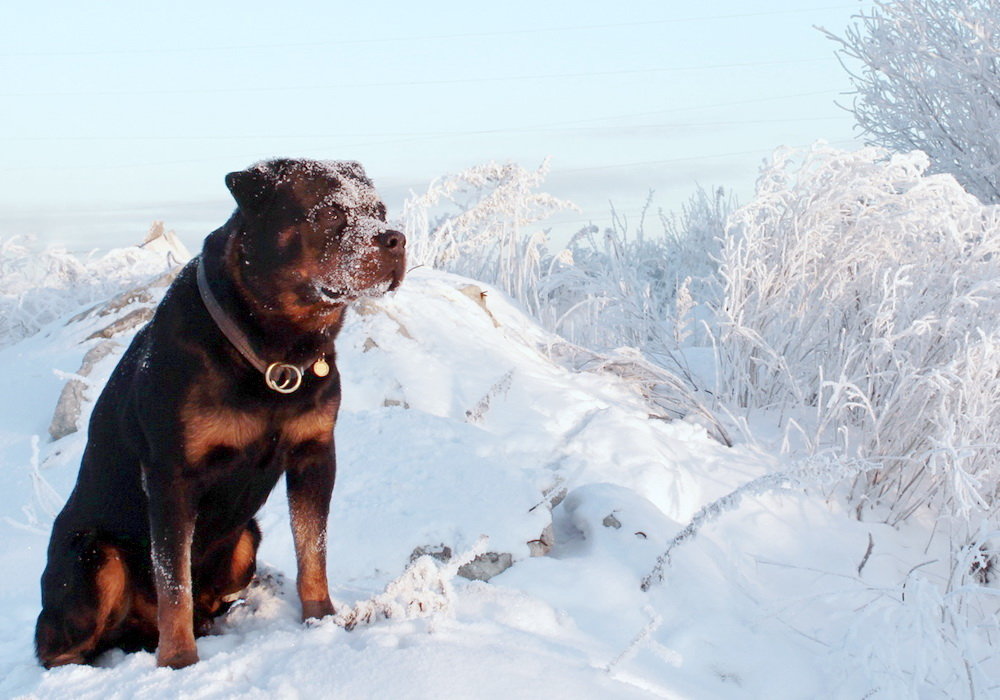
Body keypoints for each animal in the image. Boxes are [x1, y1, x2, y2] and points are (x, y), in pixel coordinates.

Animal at [33, 157, 406, 668]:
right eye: (329, 213)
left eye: (379, 211)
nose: (396, 238)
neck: (274, 350)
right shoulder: (171, 476)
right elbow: (174, 580)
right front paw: (178, 661)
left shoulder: (314, 453)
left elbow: (313, 550)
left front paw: (322, 618)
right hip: (94, 556)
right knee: (61, 644)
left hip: (245, 539)